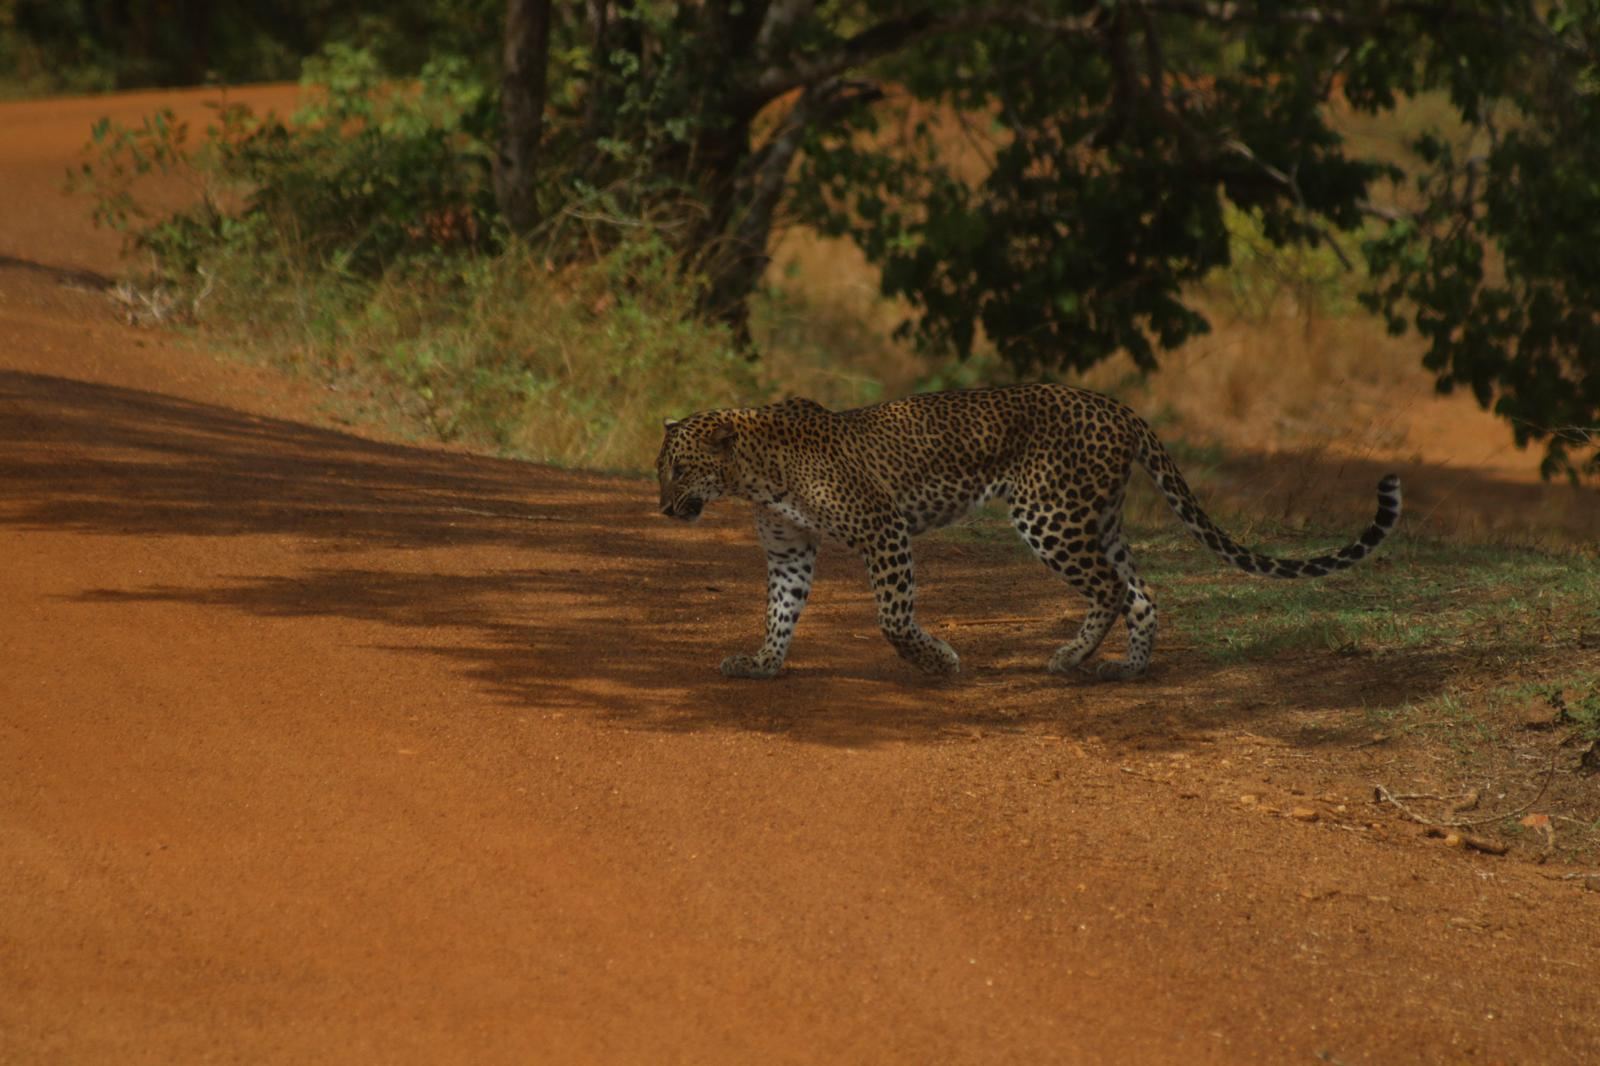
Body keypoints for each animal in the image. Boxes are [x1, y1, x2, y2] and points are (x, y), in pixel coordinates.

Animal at [656, 383, 1401, 681]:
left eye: (677, 469)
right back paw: (1124, 670)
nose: (662, 508)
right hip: (1098, 517)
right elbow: (780, 612)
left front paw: (936, 662)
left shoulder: (883, 529)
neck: (751, 472)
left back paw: (1072, 658)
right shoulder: (790, 550)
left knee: (1110, 590)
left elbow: (894, 616)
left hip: (1049, 515)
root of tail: (1120, 408)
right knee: (1142, 592)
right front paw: (761, 664)